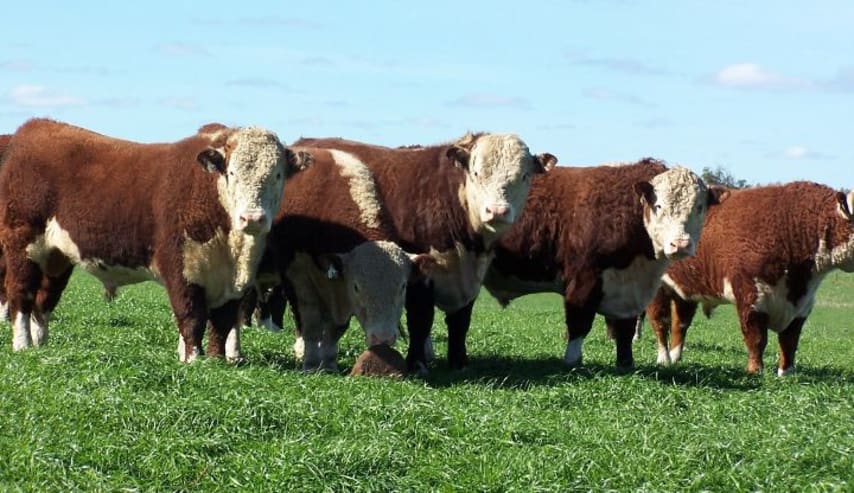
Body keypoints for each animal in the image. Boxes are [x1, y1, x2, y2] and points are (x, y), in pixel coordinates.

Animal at [0, 117, 310, 360]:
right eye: (231, 172)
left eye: (278, 175)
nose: (253, 218)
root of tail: (35, 127)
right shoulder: (182, 266)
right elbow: (192, 317)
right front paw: (193, 361)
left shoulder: (234, 282)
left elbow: (222, 324)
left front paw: (218, 361)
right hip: (22, 243)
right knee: (20, 294)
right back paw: (22, 345)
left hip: (56, 257)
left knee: (44, 299)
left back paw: (41, 345)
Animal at [298, 133, 560, 370]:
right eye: (477, 173)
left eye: (524, 176)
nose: (496, 211)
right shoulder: (419, 277)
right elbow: (421, 320)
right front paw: (417, 363)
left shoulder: (471, 279)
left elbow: (460, 322)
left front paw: (458, 362)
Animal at [478, 161, 724, 368]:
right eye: (660, 206)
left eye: (699, 207)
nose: (680, 244)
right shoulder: (584, 277)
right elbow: (579, 322)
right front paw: (572, 360)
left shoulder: (628, 289)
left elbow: (625, 329)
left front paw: (626, 363)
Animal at [648, 183, 854, 374]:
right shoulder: (751, 296)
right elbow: (756, 338)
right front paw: (756, 371)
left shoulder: (802, 306)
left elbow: (789, 342)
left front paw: (786, 373)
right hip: (658, 288)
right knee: (661, 322)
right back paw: (664, 359)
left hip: (686, 290)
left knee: (680, 324)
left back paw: (675, 357)